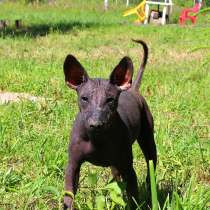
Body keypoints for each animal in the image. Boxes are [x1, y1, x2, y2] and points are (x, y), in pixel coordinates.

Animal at [63, 40, 157, 209]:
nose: (96, 124)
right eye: (84, 98)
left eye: (110, 99)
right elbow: (69, 197)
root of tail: (133, 89)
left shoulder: (128, 168)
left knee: (150, 165)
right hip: (115, 166)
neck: (97, 138)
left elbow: (133, 197)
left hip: (148, 140)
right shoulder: (72, 166)